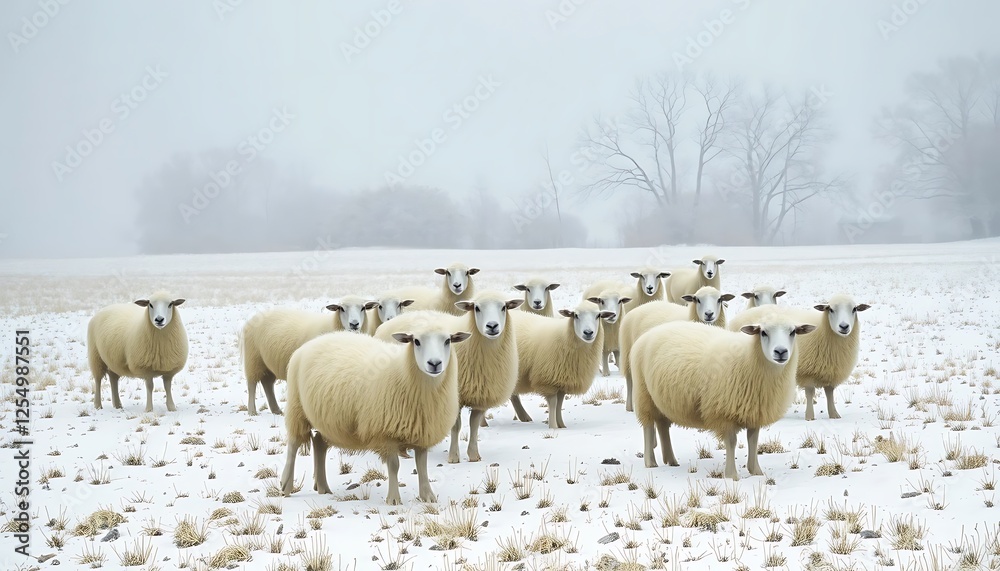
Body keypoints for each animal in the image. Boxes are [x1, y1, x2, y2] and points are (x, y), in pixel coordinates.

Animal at [242, 296, 377, 416]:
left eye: (363, 308)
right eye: (341, 308)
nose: (354, 324)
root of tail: (255, 317)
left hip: (267, 362)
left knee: (267, 383)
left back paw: (276, 410)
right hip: (253, 358)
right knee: (252, 383)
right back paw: (252, 411)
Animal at [279, 325, 471, 504]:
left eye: (448, 341)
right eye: (416, 341)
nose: (434, 363)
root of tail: (309, 344)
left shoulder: (422, 432)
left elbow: (422, 466)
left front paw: (427, 496)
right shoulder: (385, 433)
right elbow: (394, 466)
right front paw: (393, 499)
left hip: (327, 421)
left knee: (319, 442)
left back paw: (323, 487)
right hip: (297, 408)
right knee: (293, 445)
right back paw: (286, 485)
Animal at [374, 291, 522, 463]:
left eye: (504, 307)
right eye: (476, 308)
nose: (492, 326)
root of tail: (388, 323)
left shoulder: (480, 396)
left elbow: (474, 424)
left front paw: (473, 455)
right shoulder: (453, 396)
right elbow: (456, 426)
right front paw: (453, 457)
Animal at [630, 307, 816, 480]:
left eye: (793, 332)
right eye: (763, 332)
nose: (781, 352)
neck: (749, 359)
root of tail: (648, 334)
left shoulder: (754, 411)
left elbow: (753, 441)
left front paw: (756, 471)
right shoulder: (724, 413)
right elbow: (732, 442)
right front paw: (732, 475)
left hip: (660, 398)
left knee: (662, 425)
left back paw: (671, 460)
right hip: (644, 394)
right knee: (648, 426)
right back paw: (650, 462)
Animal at [728, 294, 870, 421]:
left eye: (854, 309)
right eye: (830, 309)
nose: (844, 326)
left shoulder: (830, 371)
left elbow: (829, 393)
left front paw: (834, 415)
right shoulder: (808, 372)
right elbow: (810, 393)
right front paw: (810, 416)